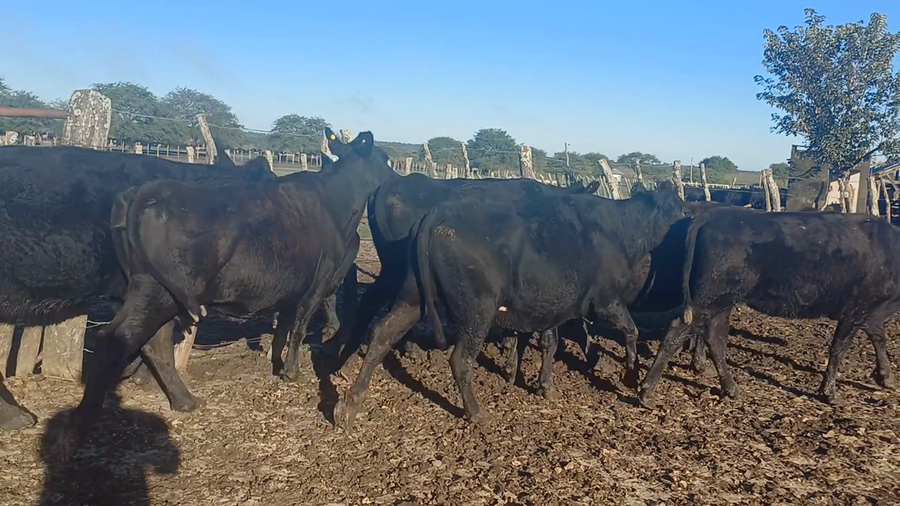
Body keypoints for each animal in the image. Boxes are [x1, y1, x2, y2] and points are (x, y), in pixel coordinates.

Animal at [51, 129, 394, 459]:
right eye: (386, 160)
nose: (394, 178)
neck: (336, 203)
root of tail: (144, 191)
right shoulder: (319, 282)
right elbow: (299, 327)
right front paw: (292, 371)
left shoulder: (292, 287)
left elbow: (283, 327)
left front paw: (275, 362)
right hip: (157, 291)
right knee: (115, 340)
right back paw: (77, 430)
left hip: (155, 293)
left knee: (154, 343)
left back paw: (184, 400)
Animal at [333, 182, 686, 429]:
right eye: (680, 210)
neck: (616, 229)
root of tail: (436, 216)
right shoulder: (607, 300)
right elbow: (630, 331)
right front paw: (630, 377)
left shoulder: (553, 305)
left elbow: (549, 342)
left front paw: (539, 383)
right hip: (477, 309)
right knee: (460, 360)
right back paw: (476, 413)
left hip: (412, 297)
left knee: (382, 335)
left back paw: (348, 404)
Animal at [638, 207, 899, 408]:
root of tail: (713, 215)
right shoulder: (856, 310)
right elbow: (838, 350)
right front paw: (829, 393)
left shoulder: (871, 312)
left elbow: (879, 337)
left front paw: (885, 376)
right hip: (709, 299)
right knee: (678, 332)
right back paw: (647, 391)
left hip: (721, 302)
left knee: (715, 339)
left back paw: (730, 387)